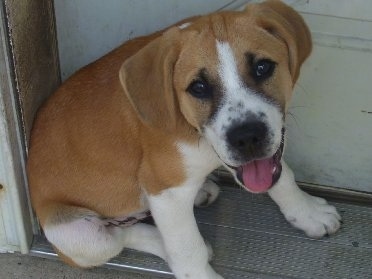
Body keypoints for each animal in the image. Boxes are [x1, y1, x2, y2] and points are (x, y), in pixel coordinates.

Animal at [27, 1, 342, 278]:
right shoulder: (165, 190)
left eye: (263, 68)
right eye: (199, 87)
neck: (195, 135)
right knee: (121, 237)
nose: (247, 138)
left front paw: (307, 213)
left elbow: (283, 176)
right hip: (79, 237)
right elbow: (187, 250)